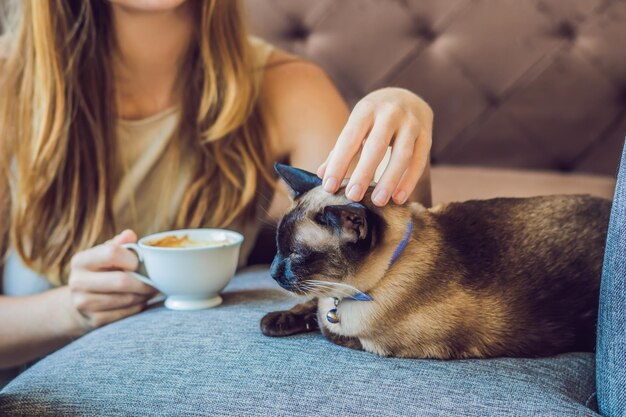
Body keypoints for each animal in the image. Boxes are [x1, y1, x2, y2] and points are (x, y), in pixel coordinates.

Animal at [260, 164, 608, 360]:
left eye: (296, 255)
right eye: (277, 248)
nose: (273, 272)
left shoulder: (374, 342)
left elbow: (326, 327)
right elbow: (309, 307)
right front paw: (275, 321)